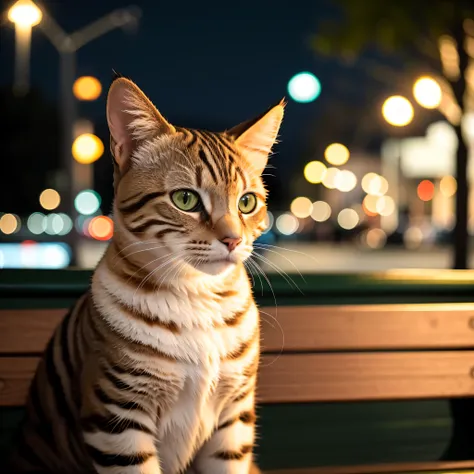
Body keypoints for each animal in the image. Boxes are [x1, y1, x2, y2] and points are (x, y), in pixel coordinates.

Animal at [10, 75, 286, 474]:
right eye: (185, 199)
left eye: (246, 202)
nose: (233, 239)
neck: (198, 297)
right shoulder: (118, 420)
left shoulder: (233, 421)